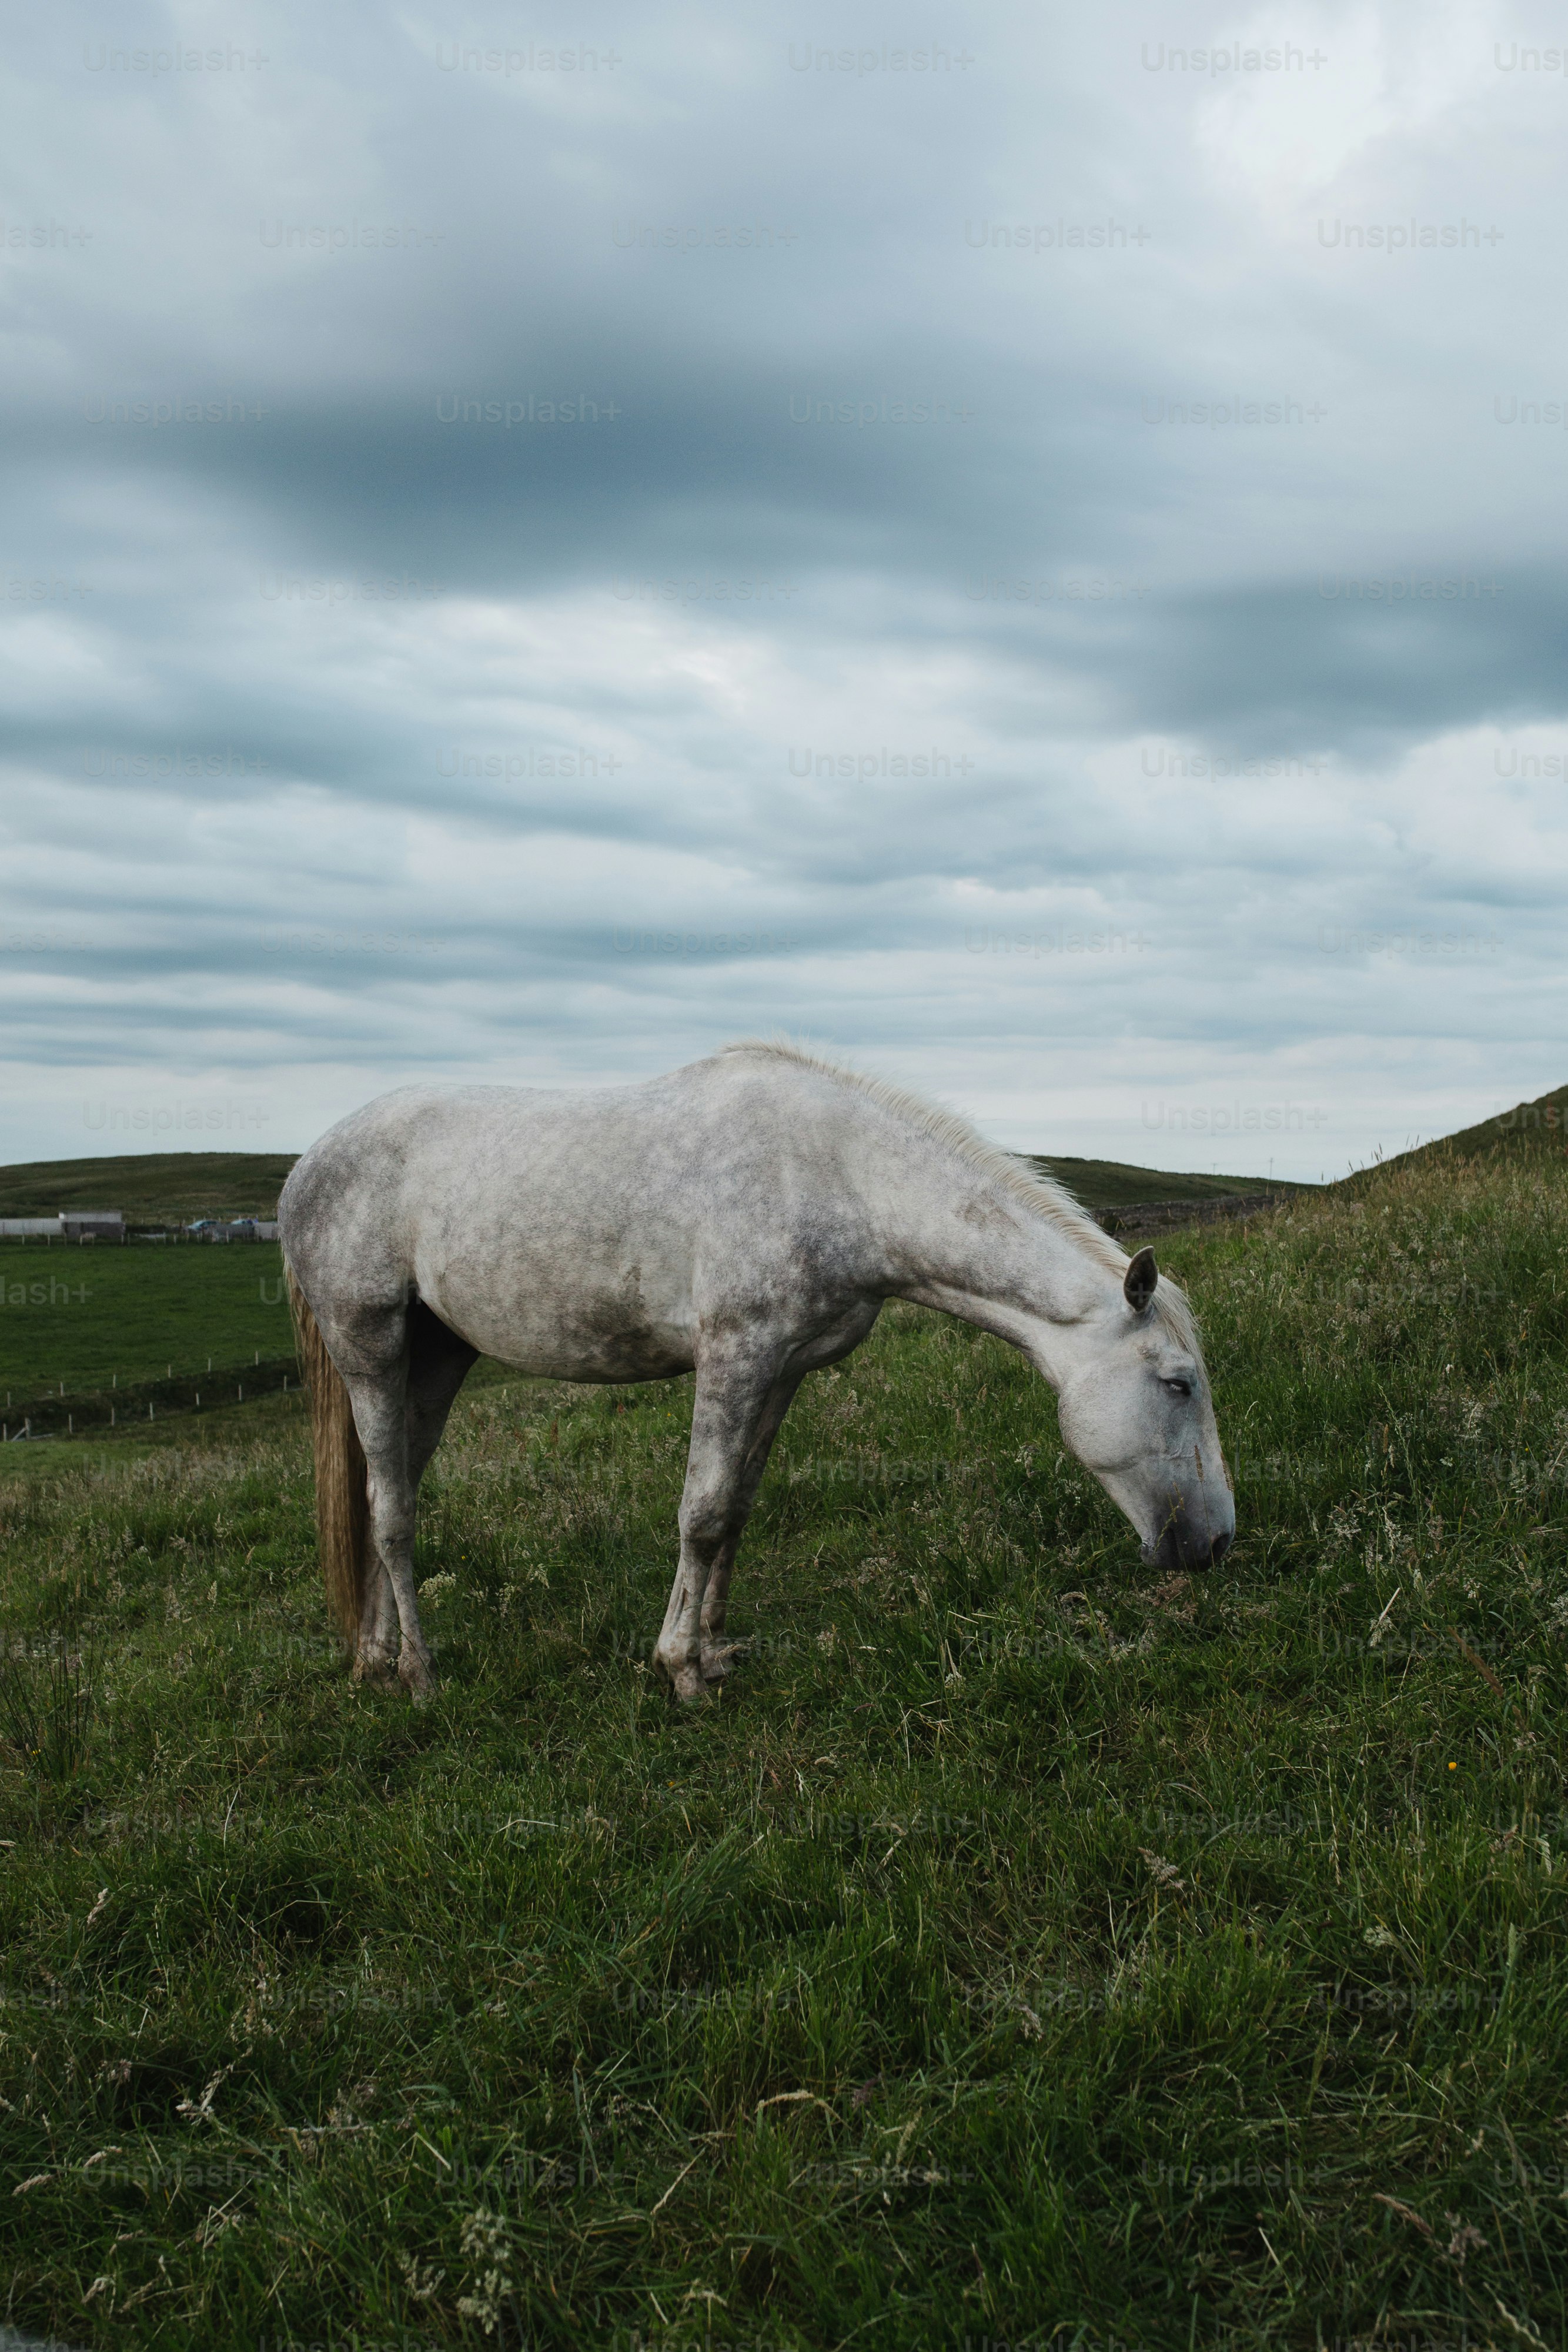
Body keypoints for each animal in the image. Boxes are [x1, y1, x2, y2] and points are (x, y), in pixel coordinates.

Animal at [279, 1040, 1234, 1702]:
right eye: (1177, 1383)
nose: (1215, 1542)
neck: (840, 1180)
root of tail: (306, 1166)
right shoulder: (732, 1356)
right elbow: (700, 1514)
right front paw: (677, 1669)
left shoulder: (781, 1369)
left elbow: (735, 1508)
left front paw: (712, 1650)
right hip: (371, 1347)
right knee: (391, 1511)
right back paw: (420, 1674)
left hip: (438, 1358)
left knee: (388, 1489)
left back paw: (374, 1658)